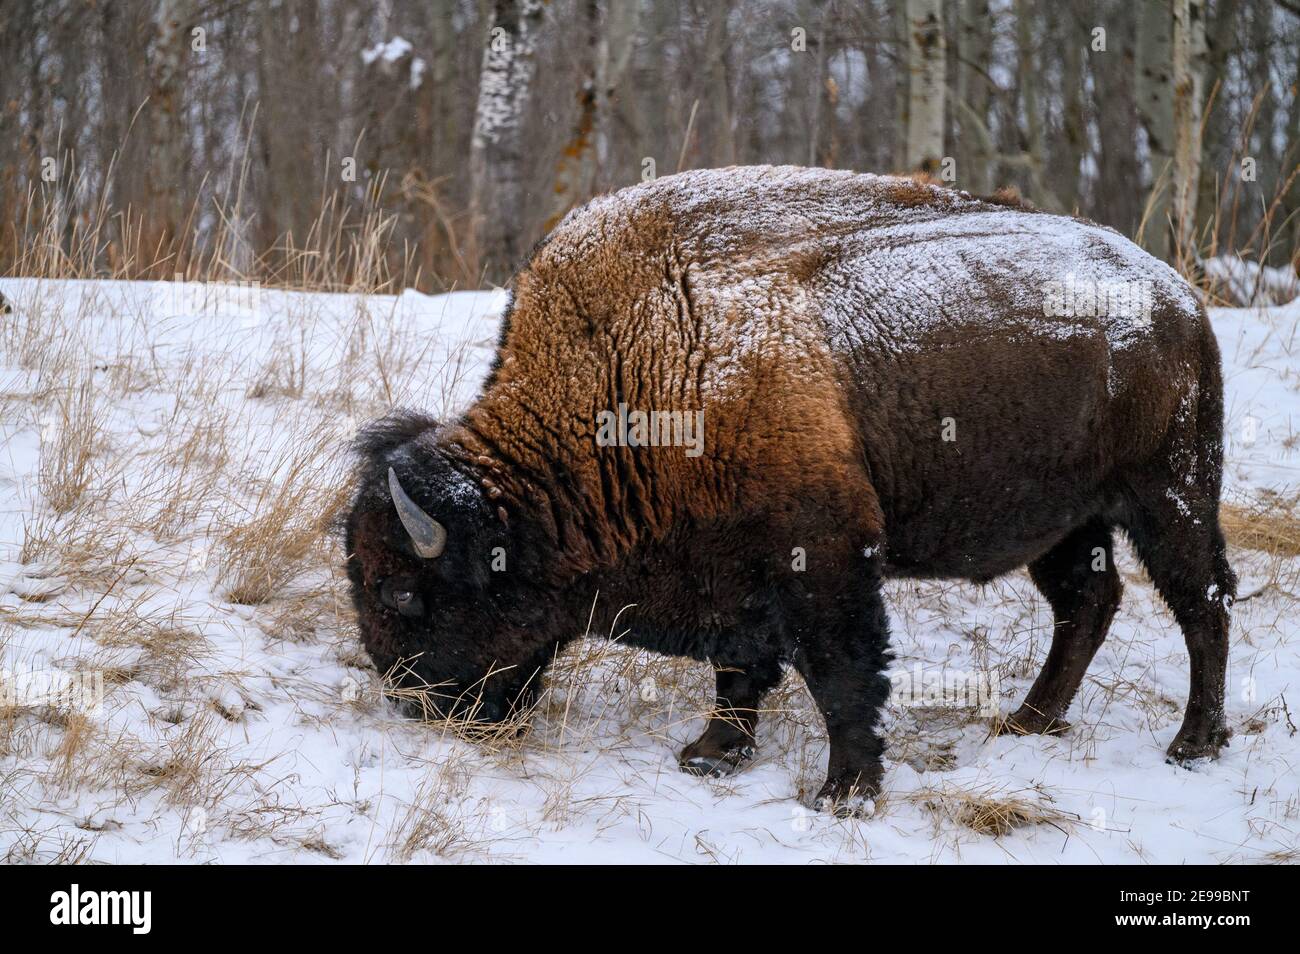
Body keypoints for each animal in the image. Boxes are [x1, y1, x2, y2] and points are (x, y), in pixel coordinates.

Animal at [340, 164, 1232, 816]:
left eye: (403, 591)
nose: (411, 703)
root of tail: (1178, 299)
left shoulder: (826, 561)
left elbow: (841, 676)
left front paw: (843, 794)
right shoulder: (736, 571)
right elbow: (742, 670)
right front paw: (709, 755)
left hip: (1169, 496)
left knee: (1203, 600)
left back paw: (1193, 744)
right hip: (1065, 520)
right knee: (1088, 602)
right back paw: (1029, 722)